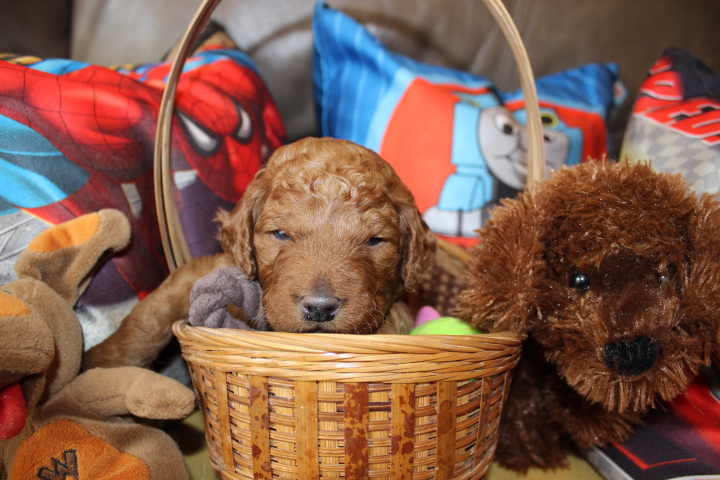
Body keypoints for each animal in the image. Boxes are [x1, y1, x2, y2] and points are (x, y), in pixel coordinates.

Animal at [84, 137, 434, 370]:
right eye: (280, 234)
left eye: (375, 241)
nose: (320, 308)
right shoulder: (213, 267)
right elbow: (151, 314)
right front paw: (99, 363)